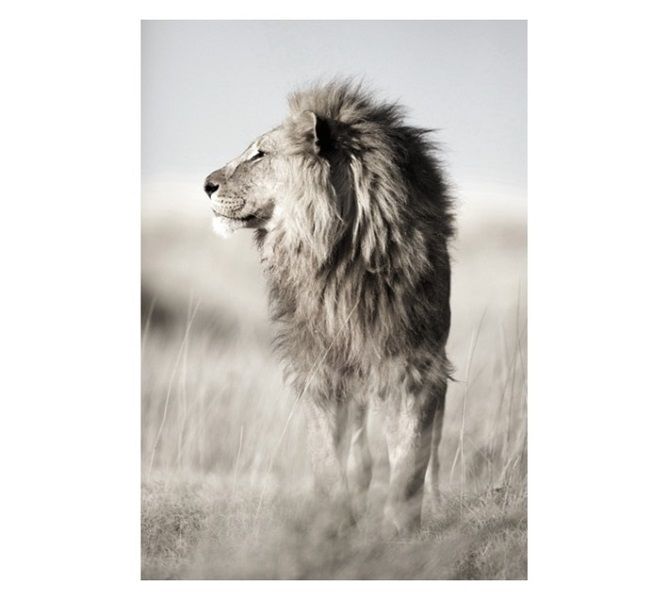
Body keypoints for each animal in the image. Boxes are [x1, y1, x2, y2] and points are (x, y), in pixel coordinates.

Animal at [204, 81, 455, 534]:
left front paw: (399, 527)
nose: (206, 185)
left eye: (260, 154)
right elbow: (326, 455)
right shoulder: (317, 365)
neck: (338, 254)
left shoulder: (414, 363)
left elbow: (411, 456)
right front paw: (334, 522)